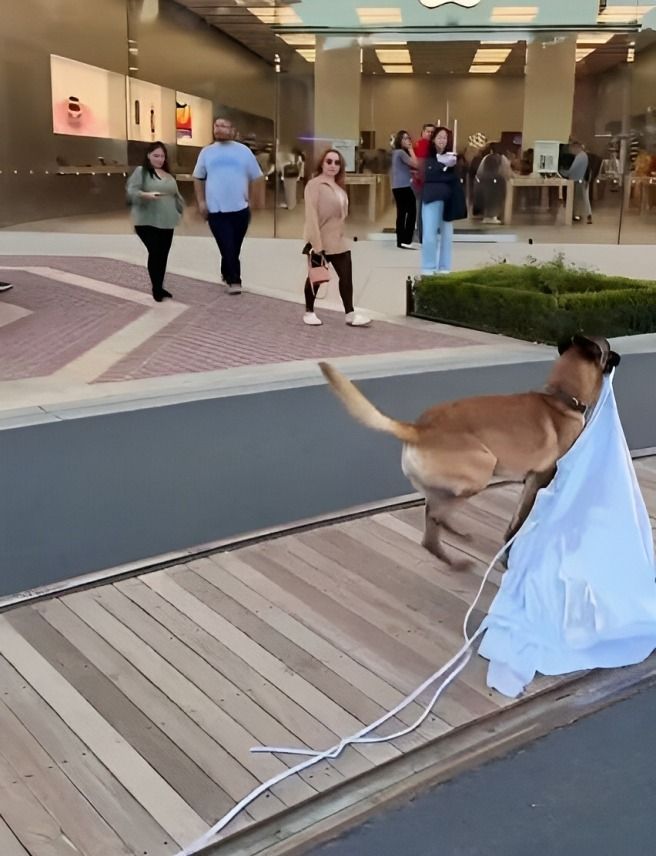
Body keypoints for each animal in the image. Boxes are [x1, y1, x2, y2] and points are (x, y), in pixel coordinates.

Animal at [320, 334, 616, 568]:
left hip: (445, 485)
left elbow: (515, 520)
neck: (561, 397)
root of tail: (419, 429)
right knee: (436, 515)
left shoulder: (529, 481)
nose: (618, 358)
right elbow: (520, 521)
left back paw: (450, 551)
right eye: (608, 348)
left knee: (431, 525)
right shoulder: (539, 479)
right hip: (481, 470)